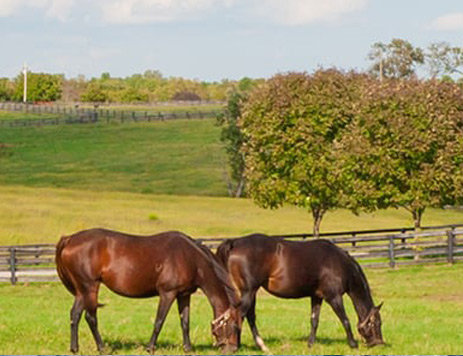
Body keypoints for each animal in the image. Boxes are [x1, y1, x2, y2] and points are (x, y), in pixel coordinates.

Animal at [56, 228, 241, 354]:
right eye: (234, 326)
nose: (233, 349)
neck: (191, 259)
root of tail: (70, 239)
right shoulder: (167, 294)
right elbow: (159, 321)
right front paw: (150, 347)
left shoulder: (184, 295)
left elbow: (185, 322)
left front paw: (187, 348)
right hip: (90, 287)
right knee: (91, 317)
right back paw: (102, 348)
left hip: (81, 291)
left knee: (75, 315)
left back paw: (74, 348)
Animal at [217, 232, 384, 352]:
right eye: (377, 323)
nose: (379, 343)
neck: (339, 263)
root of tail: (235, 242)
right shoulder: (334, 297)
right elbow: (345, 320)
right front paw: (353, 344)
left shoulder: (316, 297)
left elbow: (314, 321)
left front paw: (310, 344)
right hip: (249, 291)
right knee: (239, 316)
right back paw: (234, 346)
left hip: (250, 292)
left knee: (247, 316)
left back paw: (259, 345)